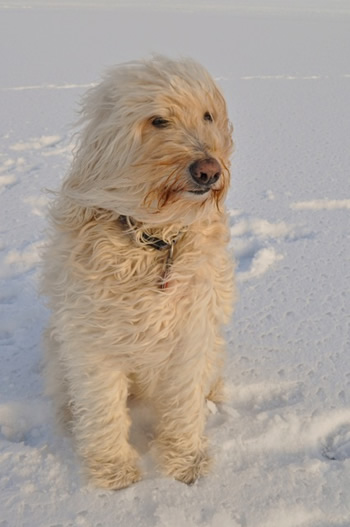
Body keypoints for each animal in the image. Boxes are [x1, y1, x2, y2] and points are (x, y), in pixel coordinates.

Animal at [42, 56, 235, 490]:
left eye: (208, 115)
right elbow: (101, 404)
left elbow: (184, 399)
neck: (153, 239)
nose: (208, 170)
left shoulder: (191, 330)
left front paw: (186, 462)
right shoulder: (92, 338)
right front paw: (113, 470)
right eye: (158, 120)